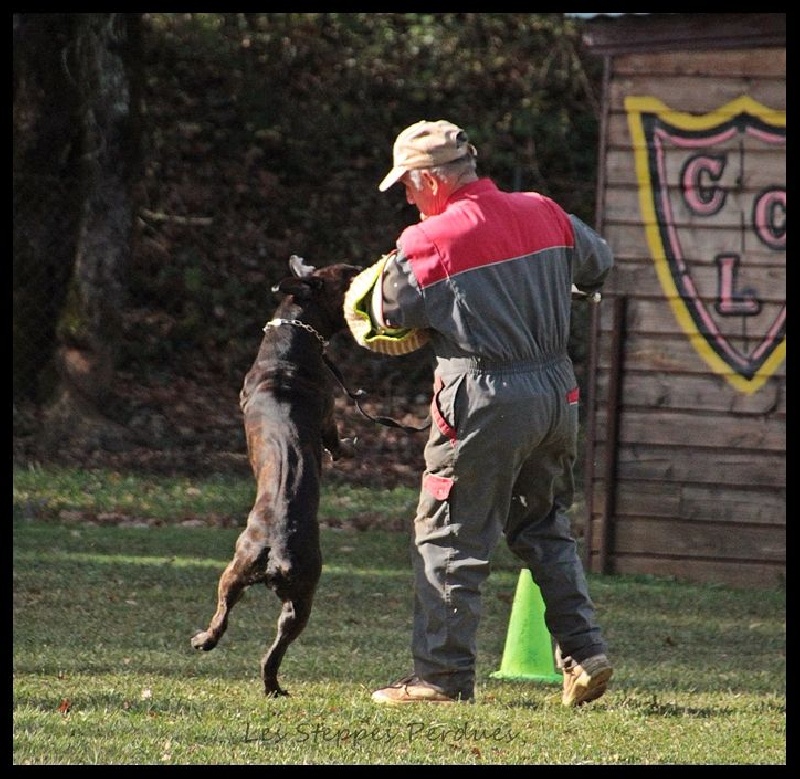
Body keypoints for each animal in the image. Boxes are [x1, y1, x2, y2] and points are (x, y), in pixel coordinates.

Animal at [191, 258, 360, 700]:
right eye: (347, 275)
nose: (362, 268)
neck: (294, 334)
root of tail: (278, 551)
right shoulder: (328, 417)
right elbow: (336, 438)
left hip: (236, 571)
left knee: (226, 617)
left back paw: (206, 641)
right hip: (301, 600)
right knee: (275, 650)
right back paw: (271, 685)